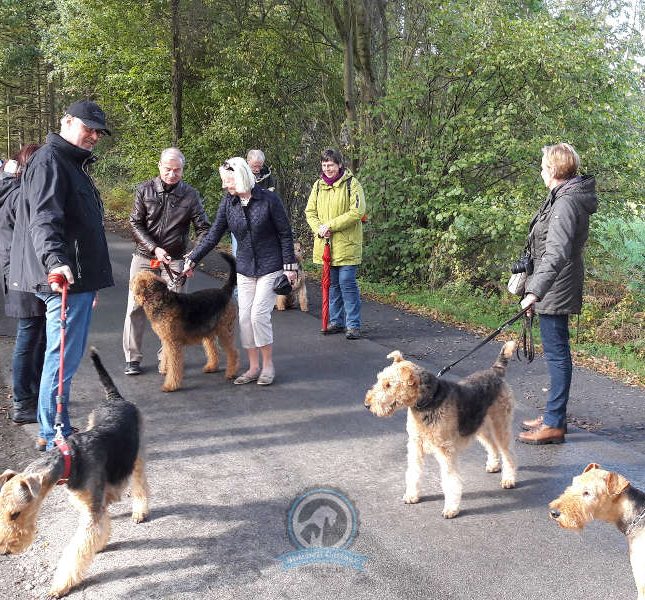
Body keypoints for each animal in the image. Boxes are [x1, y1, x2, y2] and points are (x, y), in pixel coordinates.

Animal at [0, 350, 147, 596]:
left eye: (15, 513)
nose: (5, 551)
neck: (71, 458)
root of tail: (115, 399)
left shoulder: (90, 513)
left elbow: (76, 551)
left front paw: (59, 586)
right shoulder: (89, 502)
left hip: (136, 454)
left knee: (140, 484)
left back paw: (140, 512)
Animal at [131, 251, 239, 392]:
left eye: (135, 280)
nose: (130, 285)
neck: (159, 299)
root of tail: (224, 291)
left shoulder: (173, 342)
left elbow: (174, 364)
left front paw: (170, 385)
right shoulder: (166, 340)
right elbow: (167, 357)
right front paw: (165, 370)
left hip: (224, 331)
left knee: (233, 352)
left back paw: (231, 373)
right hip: (209, 331)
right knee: (213, 350)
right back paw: (211, 367)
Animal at [364, 340, 516, 516]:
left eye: (388, 385)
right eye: (379, 379)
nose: (367, 404)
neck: (428, 401)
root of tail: (496, 371)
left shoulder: (445, 450)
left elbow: (450, 480)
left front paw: (451, 508)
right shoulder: (415, 444)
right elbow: (413, 471)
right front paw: (412, 495)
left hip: (500, 424)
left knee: (508, 453)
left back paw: (509, 479)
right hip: (479, 425)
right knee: (492, 446)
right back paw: (493, 465)